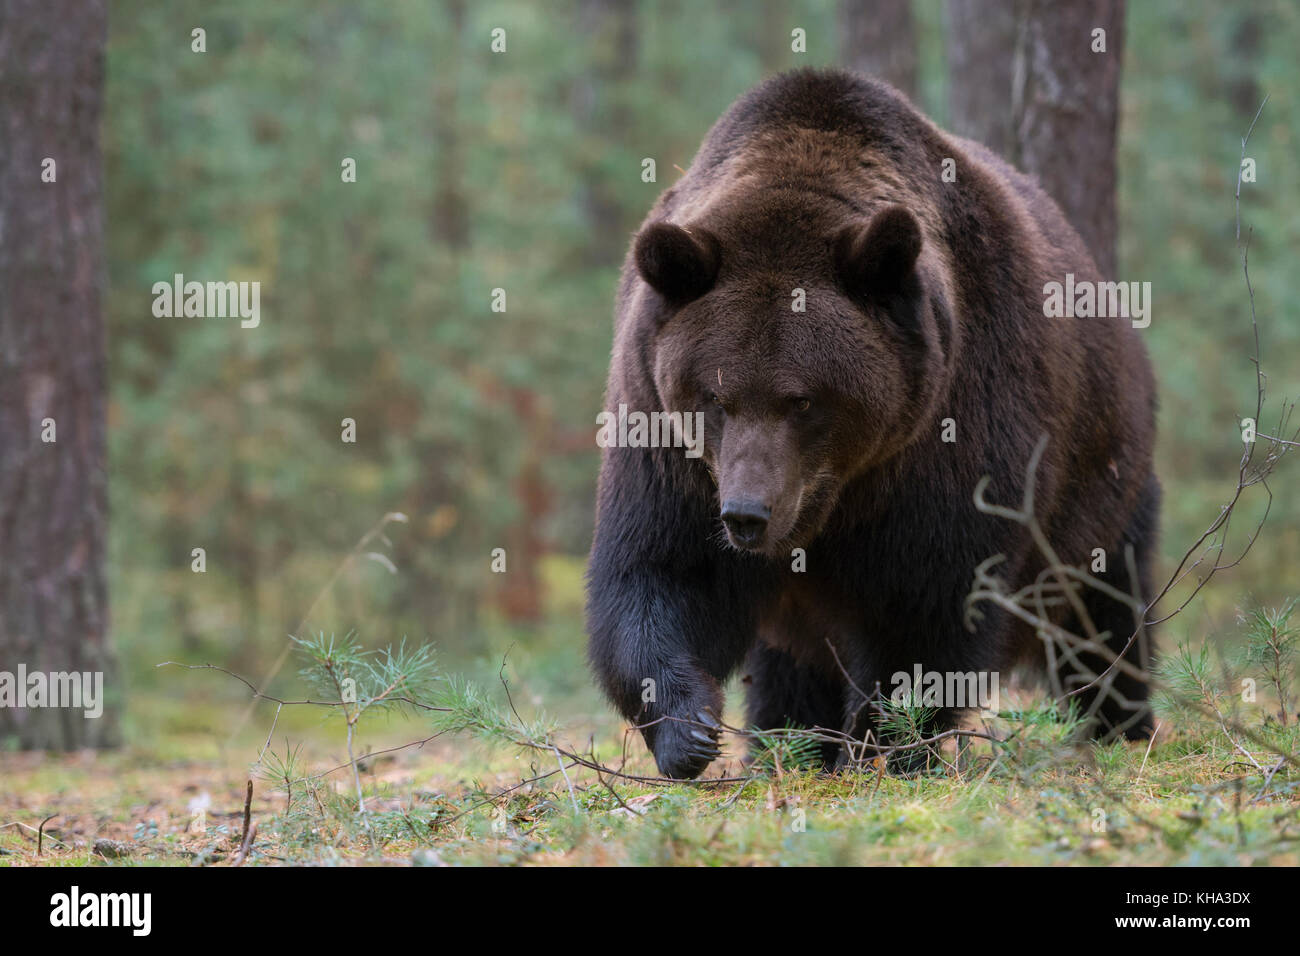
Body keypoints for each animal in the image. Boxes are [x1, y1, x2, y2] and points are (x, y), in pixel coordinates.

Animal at [585, 70, 1154, 780]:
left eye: (802, 400)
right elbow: (663, 568)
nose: (748, 515)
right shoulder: (667, 438)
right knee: (791, 663)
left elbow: (927, 605)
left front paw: (886, 744)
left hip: (1100, 479)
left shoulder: (955, 425)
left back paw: (1122, 723)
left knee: (1101, 609)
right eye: (715, 396)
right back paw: (789, 740)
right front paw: (689, 729)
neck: (834, 498)